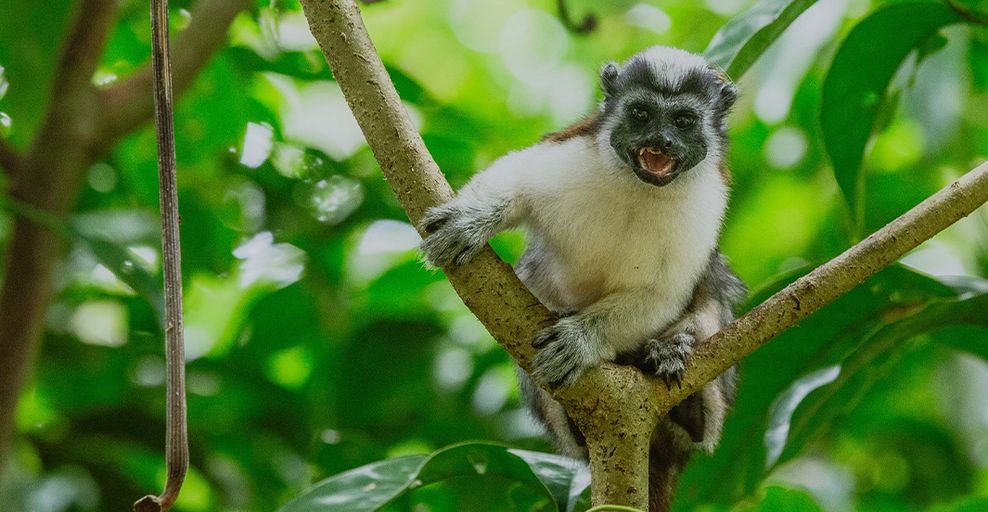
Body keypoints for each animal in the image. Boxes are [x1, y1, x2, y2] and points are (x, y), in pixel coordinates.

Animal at [418, 46, 748, 510]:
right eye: (641, 114)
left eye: (683, 121)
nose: (661, 142)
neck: (640, 188)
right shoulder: (572, 152)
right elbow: (519, 178)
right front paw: (471, 220)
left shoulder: (708, 205)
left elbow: (662, 294)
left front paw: (580, 340)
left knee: (712, 299)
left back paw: (682, 381)